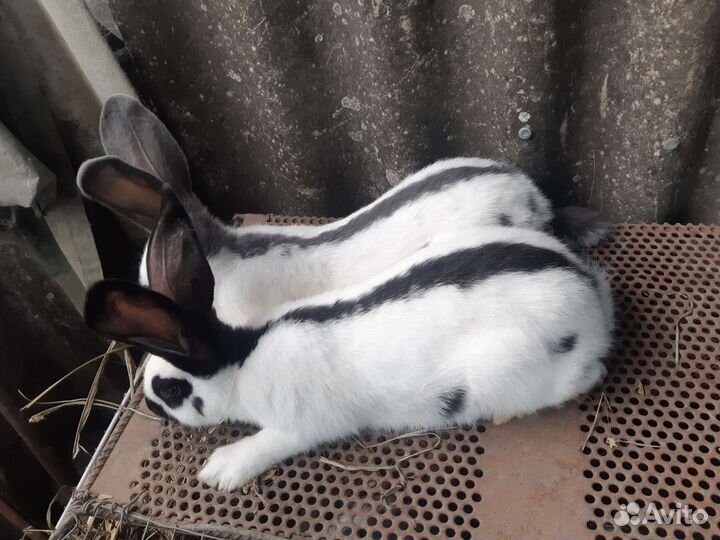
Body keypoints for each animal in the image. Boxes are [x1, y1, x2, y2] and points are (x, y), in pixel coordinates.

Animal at [84, 185, 614, 492]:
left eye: (171, 389)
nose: (151, 408)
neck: (242, 358)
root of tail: (590, 297)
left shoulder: (300, 427)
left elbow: (266, 443)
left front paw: (219, 470)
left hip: (520, 372)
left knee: (592, 375)